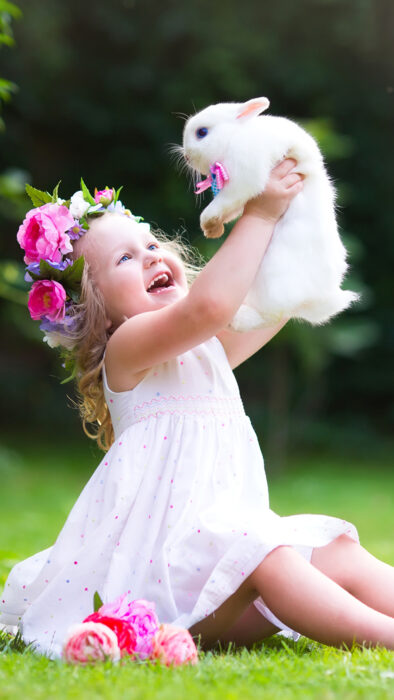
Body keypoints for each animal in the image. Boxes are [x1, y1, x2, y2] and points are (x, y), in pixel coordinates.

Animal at [182, 95, 360, 330]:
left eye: (202, 132)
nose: (186, 156)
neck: (235, 137)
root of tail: (317, 300)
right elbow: (230, 209)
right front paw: (214, 230)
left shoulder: (244, 177)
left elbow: (221, 204)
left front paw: (208, 224)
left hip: (270, 284)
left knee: (269, 316)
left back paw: (236, 320)